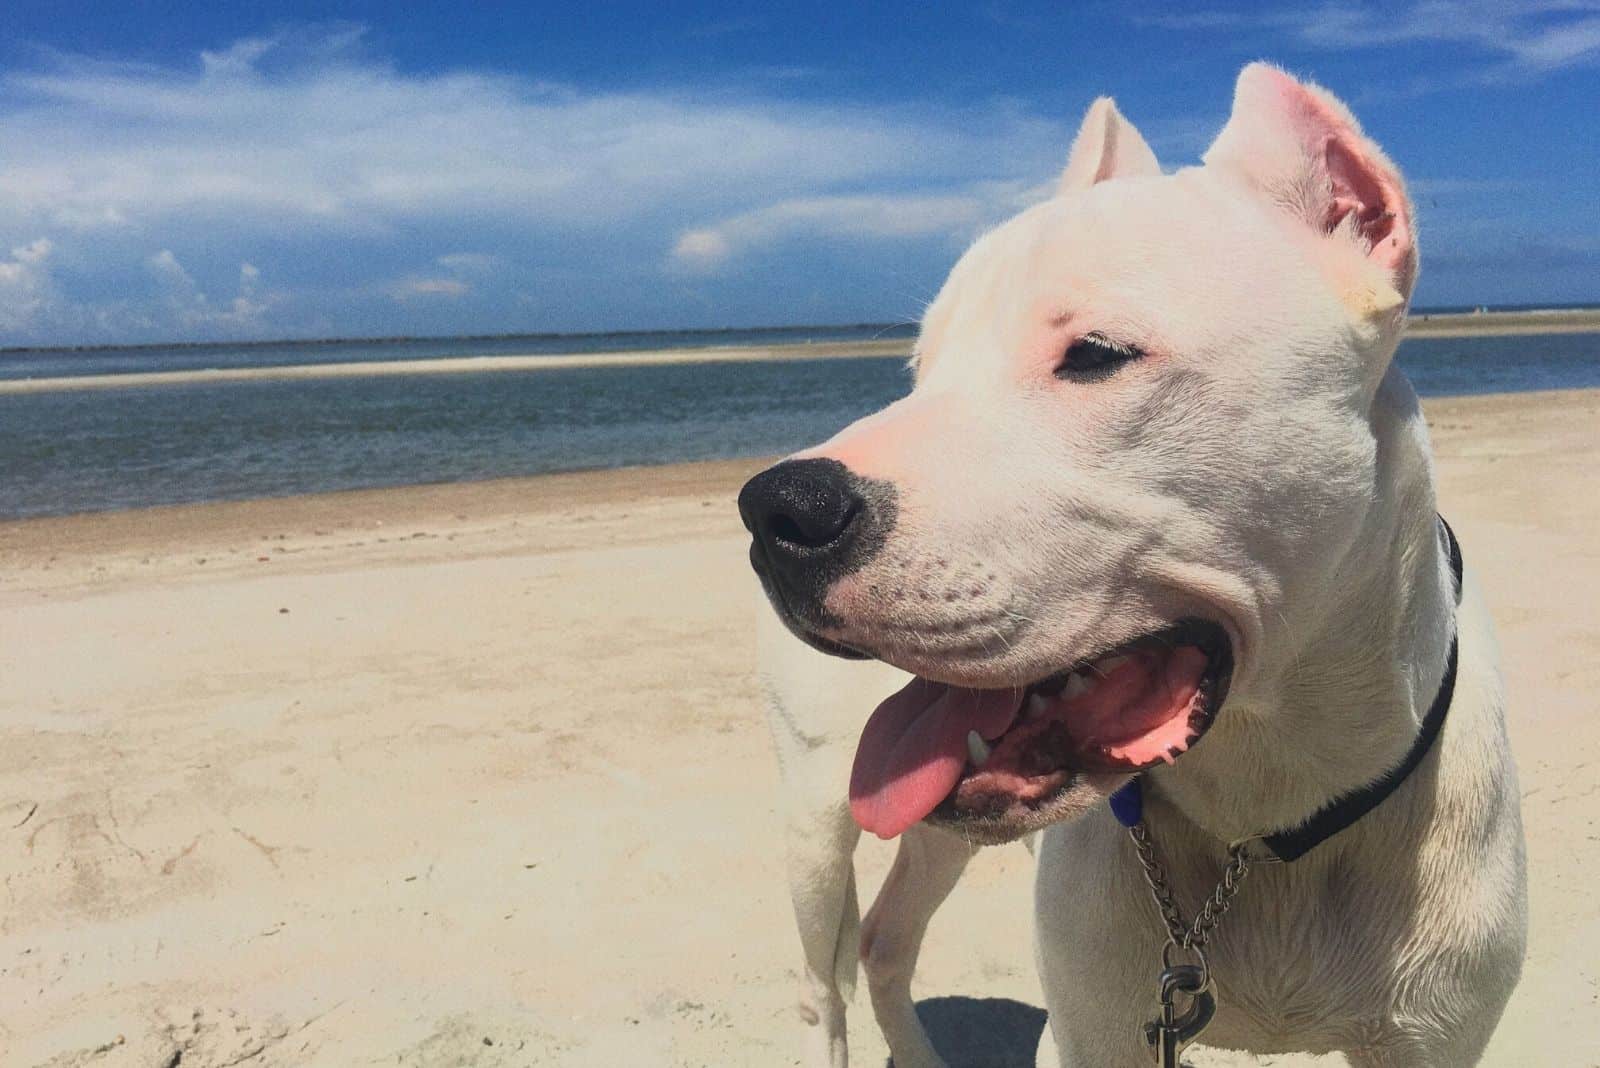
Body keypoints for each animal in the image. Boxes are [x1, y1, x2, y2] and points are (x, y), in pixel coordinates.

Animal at [742, 62, 1529, 1061]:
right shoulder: (1092, 1032)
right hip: (815, 812)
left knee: (885, 939)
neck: (1266, 812)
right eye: (919, 371)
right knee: (825, 983)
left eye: (1095, 355)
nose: (777, 512)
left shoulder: (1432, 1036)